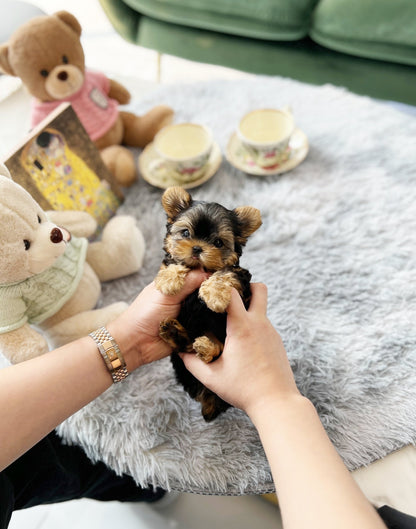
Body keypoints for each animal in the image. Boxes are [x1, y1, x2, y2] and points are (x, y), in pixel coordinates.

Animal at [154, 187, 262, 420]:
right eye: (186, 233)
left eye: (218, 243)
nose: (197, 248)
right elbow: (172, 263)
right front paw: (169, 278)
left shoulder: (242, 281)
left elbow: (224, 272)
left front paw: (215, 295)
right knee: (184, 347)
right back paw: (173, 332)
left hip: (217, 334)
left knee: (213, 350)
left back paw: (206, 347)